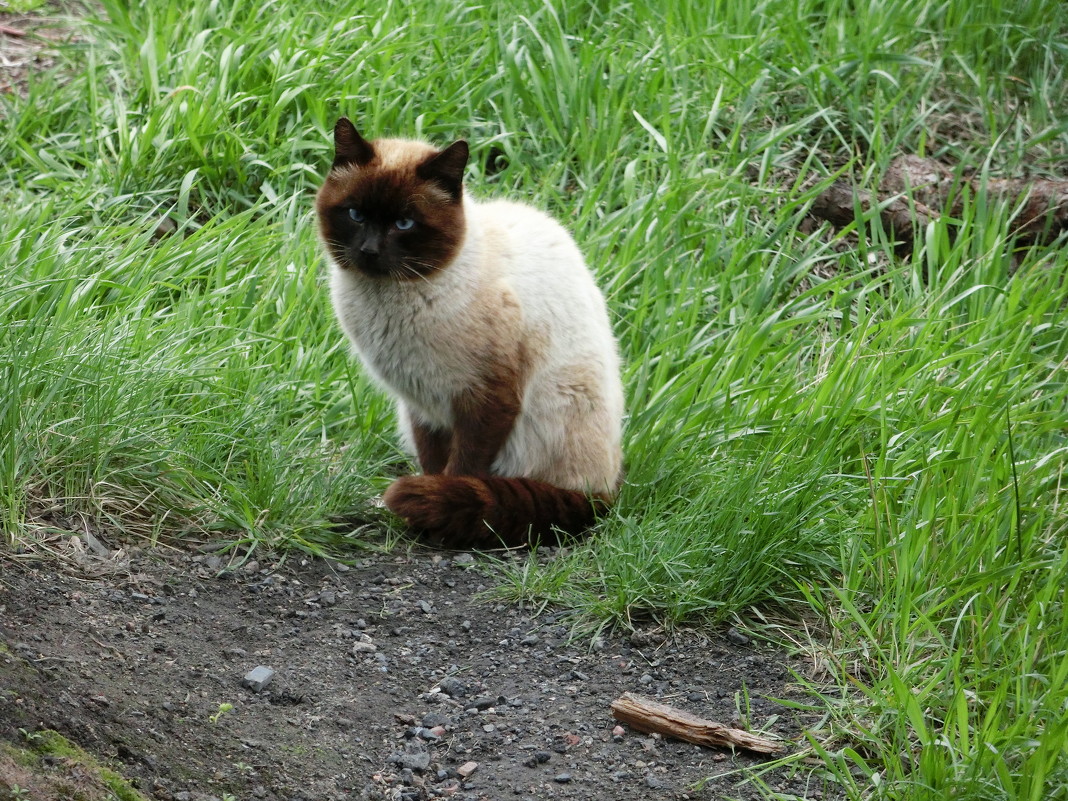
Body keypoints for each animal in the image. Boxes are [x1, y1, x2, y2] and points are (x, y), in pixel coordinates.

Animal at [311, 117, 623, 546]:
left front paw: (434, 513)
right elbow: (433, 463)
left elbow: (462, 470)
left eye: (404, 223)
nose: (369, 252)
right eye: (355, 214)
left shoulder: (485, 399)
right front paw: (424, 512)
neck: (390, 301)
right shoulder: (422, 404)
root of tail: (605, 492)